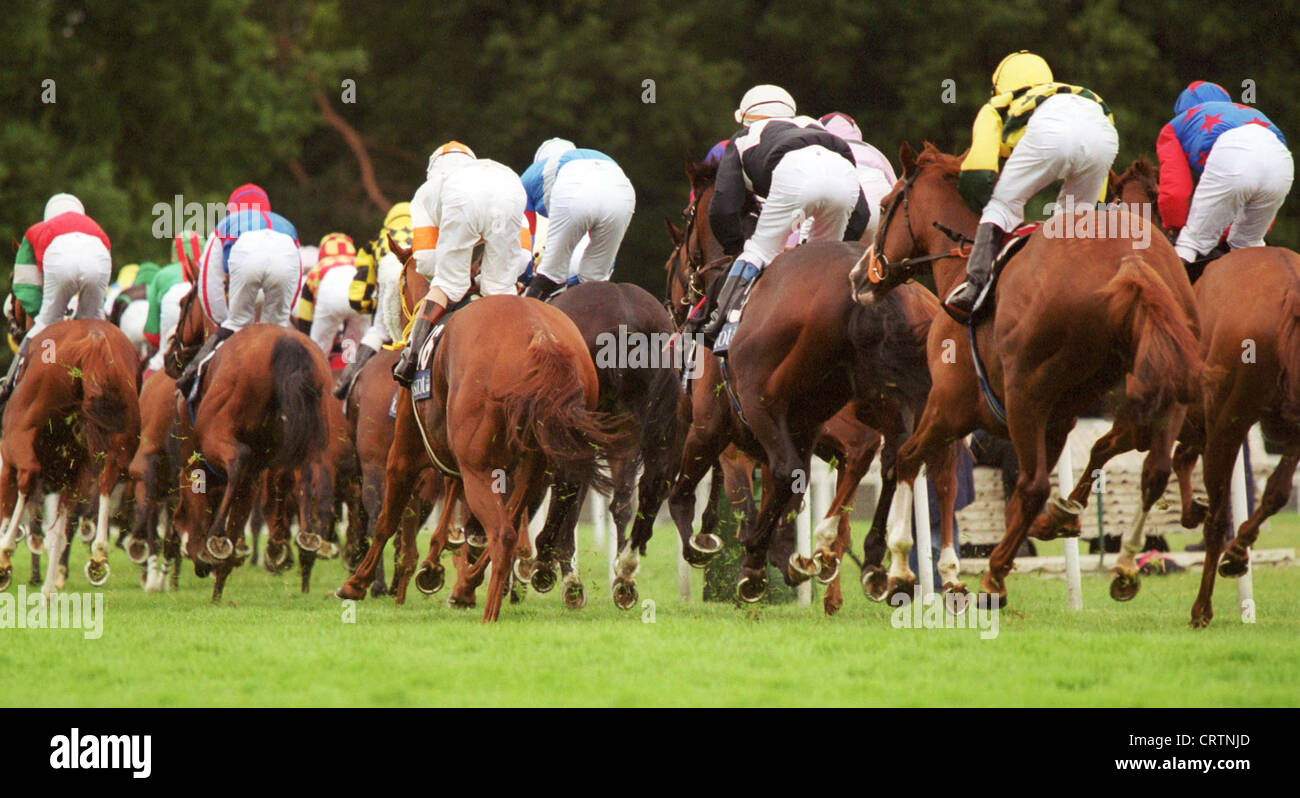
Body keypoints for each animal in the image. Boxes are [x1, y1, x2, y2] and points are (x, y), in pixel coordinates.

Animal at [847, 143, 1201, 605]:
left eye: (887, 205)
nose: (859, 277)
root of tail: (1131, 262)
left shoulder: (950, 409)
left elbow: (907, 461)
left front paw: (900, 570)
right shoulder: (1057, 422)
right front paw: (1056, 521)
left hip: (1024, 398)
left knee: (1035, 485)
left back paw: (995, 577)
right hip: (1160, 387)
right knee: (1152, 468)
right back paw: (1119, 561)